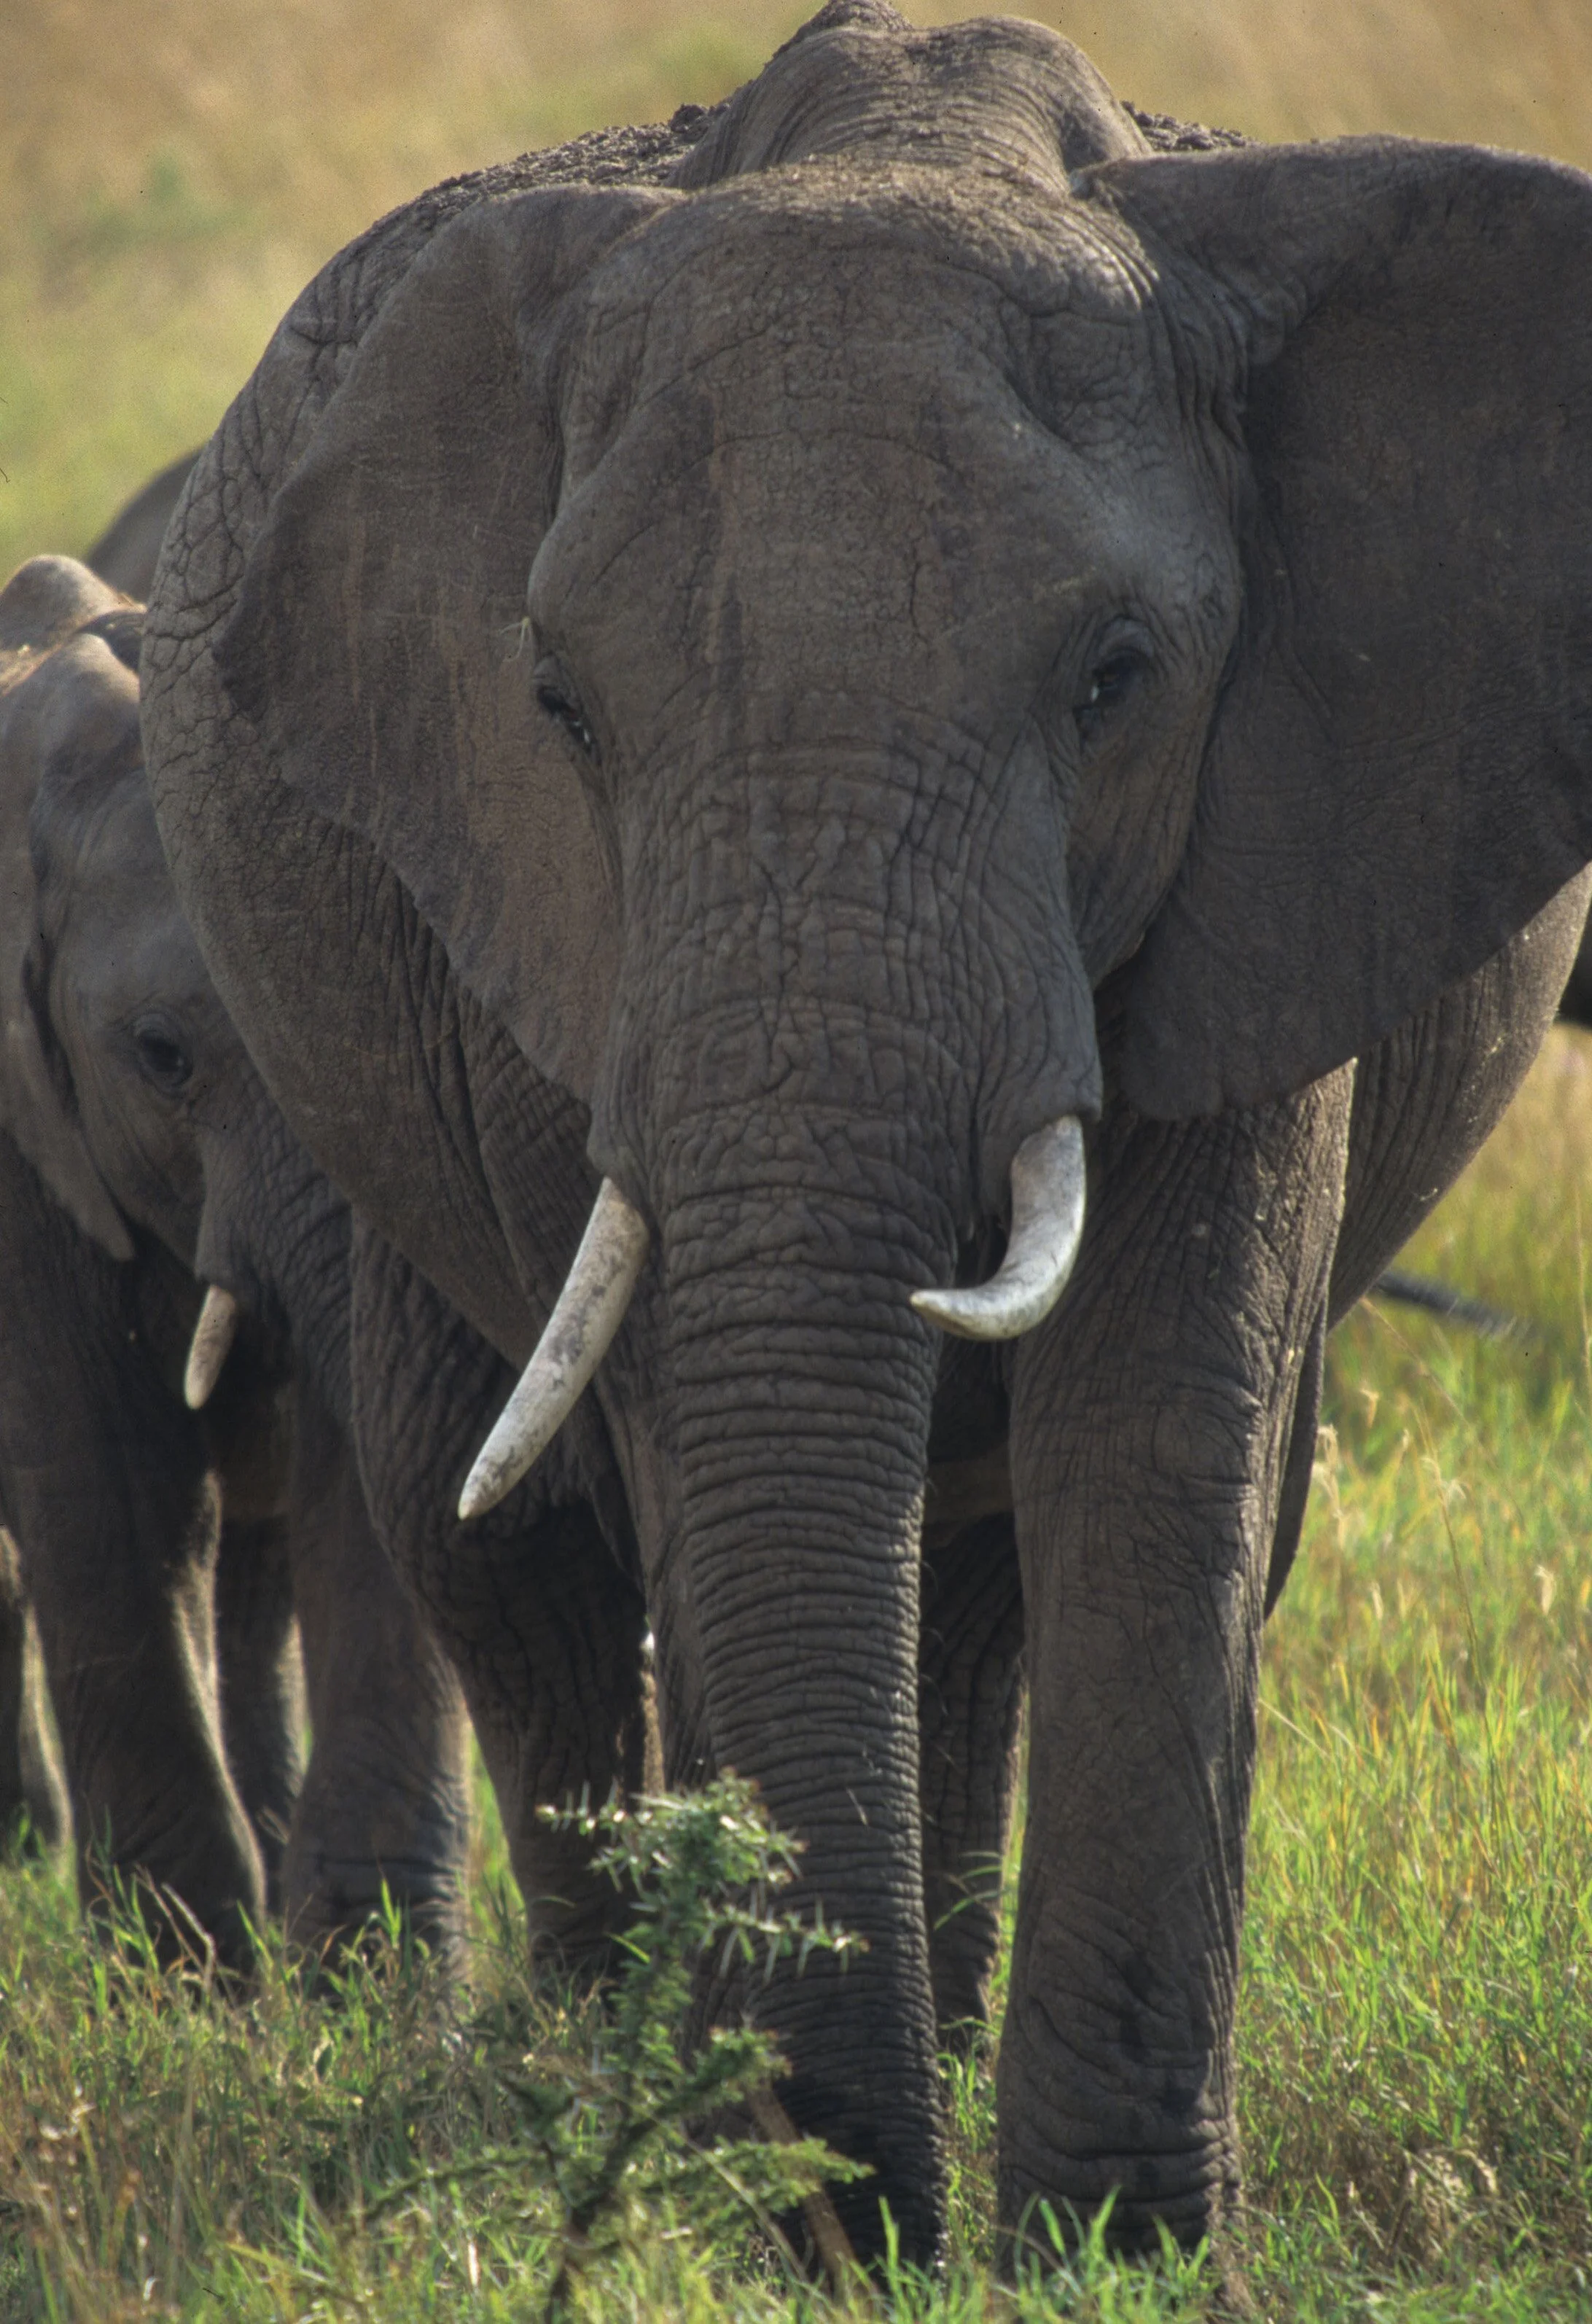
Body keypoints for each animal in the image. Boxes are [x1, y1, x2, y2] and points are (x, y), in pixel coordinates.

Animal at [141, 0, 1592, 2262]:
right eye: (559, 708)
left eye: (1114, 678)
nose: (862, 2225)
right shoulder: (567, 935)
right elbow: (678, 1436)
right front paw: (798, 2223)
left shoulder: (1275, 832)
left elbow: (1161, 1450)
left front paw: (1112, 2259)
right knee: (500, 1540)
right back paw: (602, 2091)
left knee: (979, 1585)